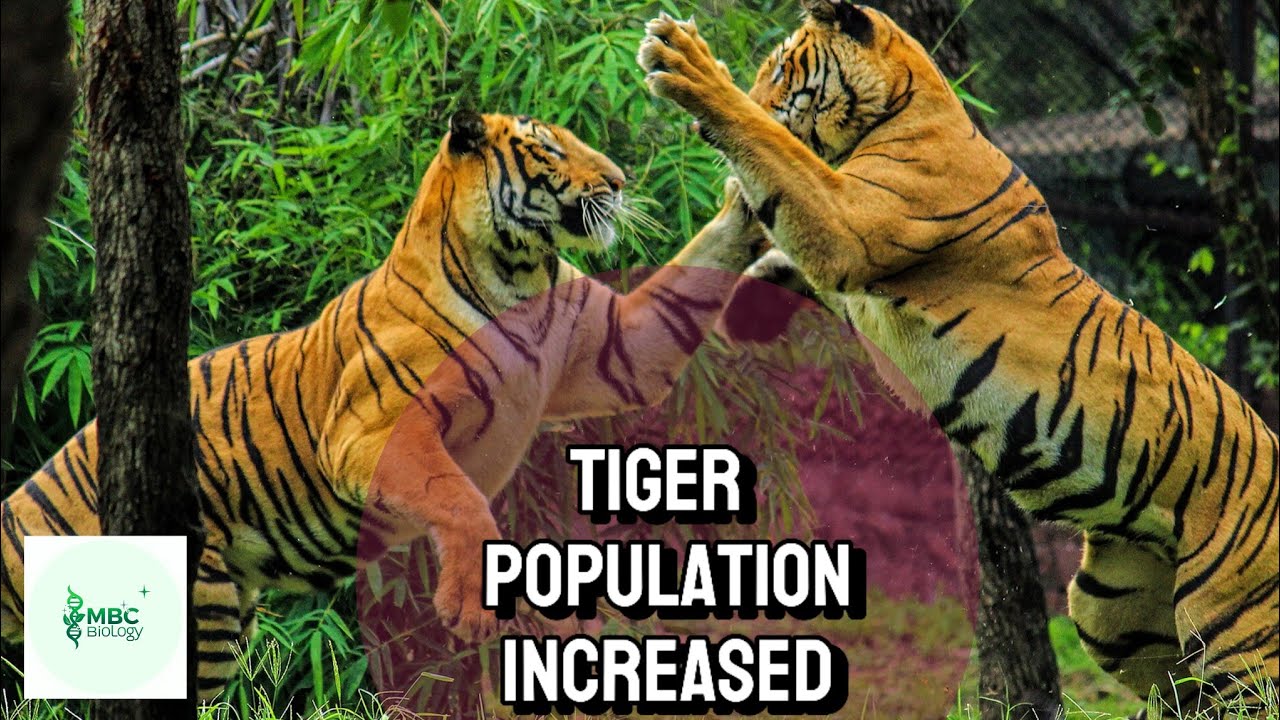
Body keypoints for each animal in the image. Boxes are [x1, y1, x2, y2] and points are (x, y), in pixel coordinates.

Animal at [0, 110, 765, 699]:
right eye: (549, 147)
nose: (620, 181)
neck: (519, 271)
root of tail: (22, 505)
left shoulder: (616, 352)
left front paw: (749, 194)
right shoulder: (371, 436)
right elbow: (459, 498)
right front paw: (469, 604)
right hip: (197, 614)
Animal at [637, 0, 1279, 709]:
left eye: (779, 70)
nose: (744, 96)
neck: (905, 109)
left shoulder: (849, 221)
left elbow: (779, 157)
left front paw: (688, 66)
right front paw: (748, 292)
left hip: (1235, 631)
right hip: (1109, 610)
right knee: (1177, 692)